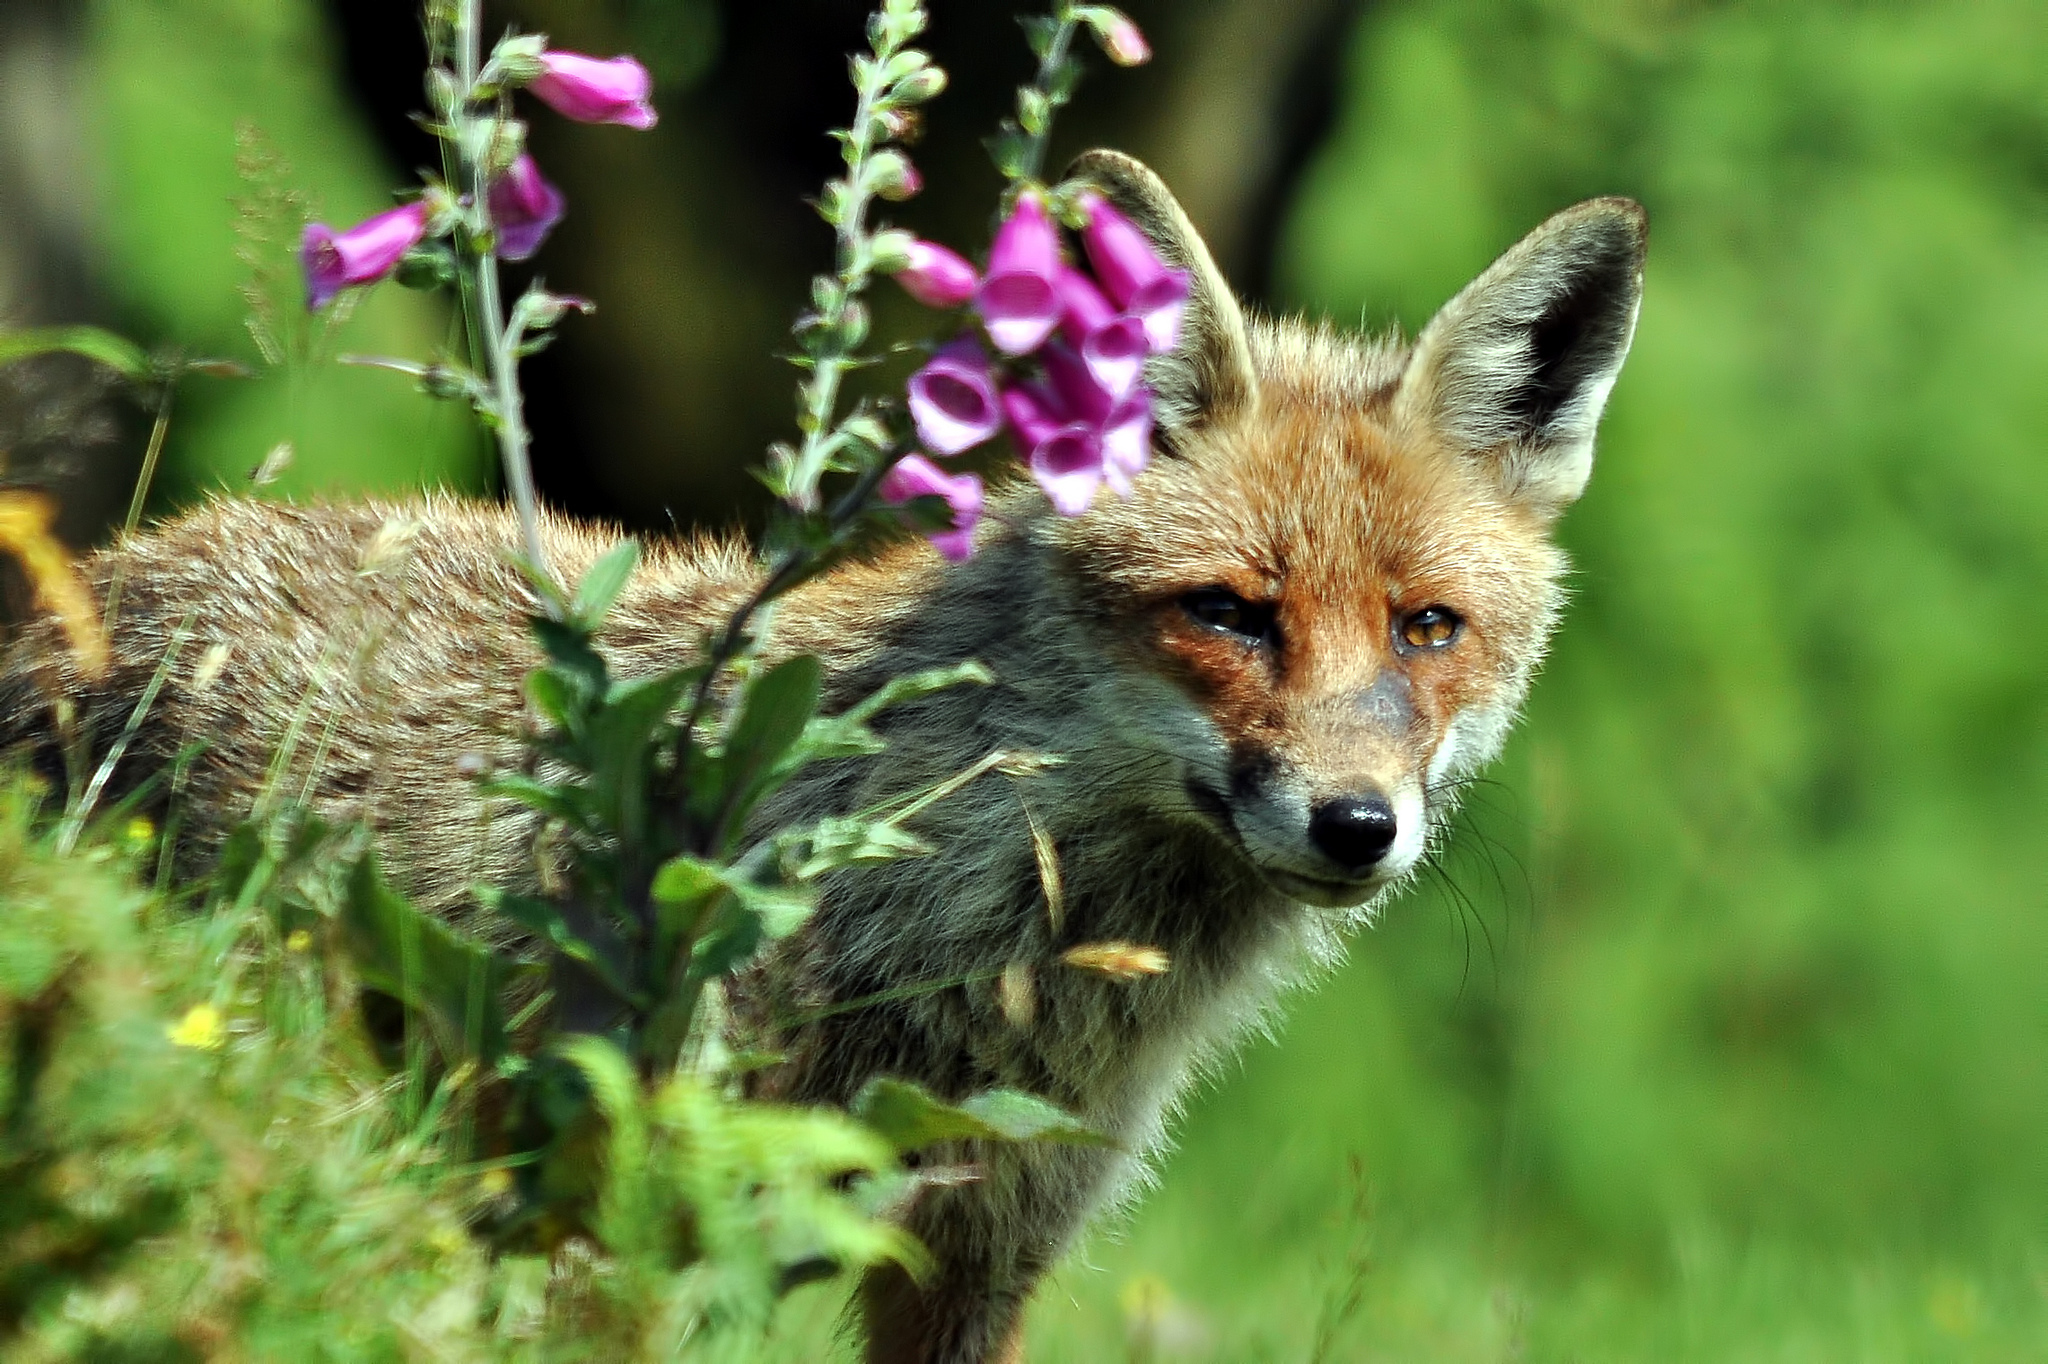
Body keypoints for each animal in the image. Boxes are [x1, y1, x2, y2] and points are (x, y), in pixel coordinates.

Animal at [0, 148, 1638, 1359]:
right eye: (1230, 613)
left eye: (1428, 628)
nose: (1356, 825)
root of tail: (121, 570)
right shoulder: (642, 1197)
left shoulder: (981, 1245)